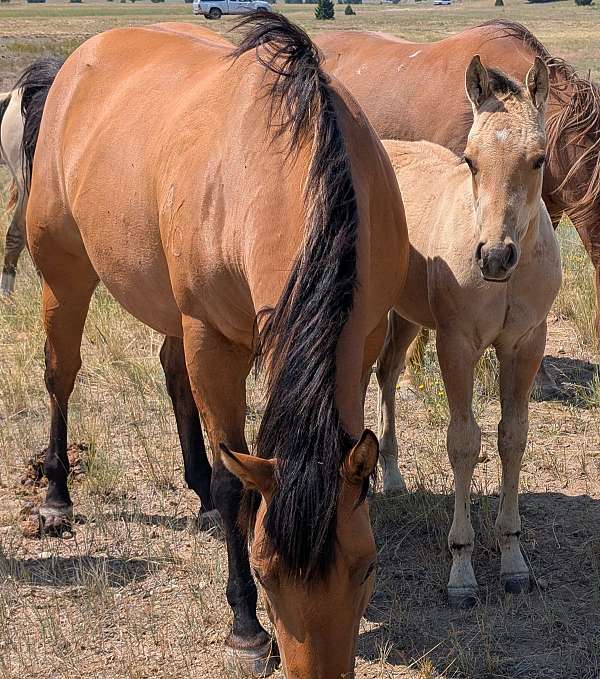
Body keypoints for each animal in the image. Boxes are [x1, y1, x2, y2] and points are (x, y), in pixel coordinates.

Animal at [23, 14, 408, 678]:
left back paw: (196, 488)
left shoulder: (363, 338)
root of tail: (74, 64)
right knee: (60, 376)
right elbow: (237, 487)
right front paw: (247, 627)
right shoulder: (213, 338)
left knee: (172, 375)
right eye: (266, 573)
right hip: (64, 278)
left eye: (368, 567)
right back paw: (56, 497)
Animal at [375, 57, 561, 606]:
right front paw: (461, 570)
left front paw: (514, 560)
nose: (495, 256)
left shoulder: (525, 345)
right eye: (472, 161)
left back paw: (391, 475)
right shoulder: (456, 345)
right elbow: (462, 441)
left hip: (407, 316)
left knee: (388, 373)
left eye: (539, 160)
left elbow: (512, 437)